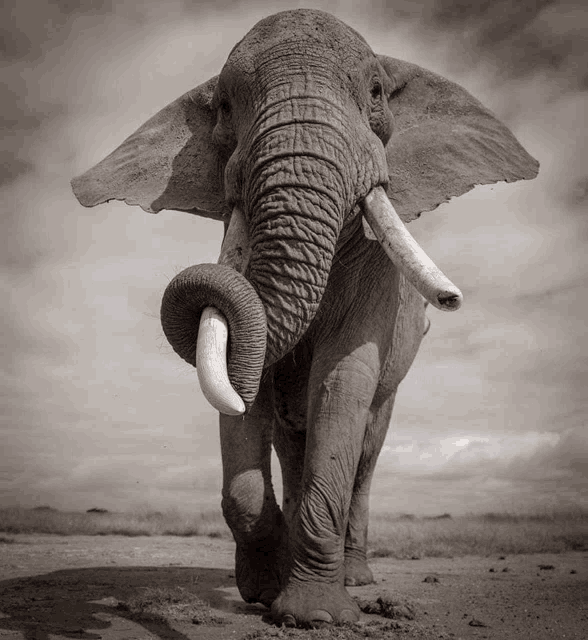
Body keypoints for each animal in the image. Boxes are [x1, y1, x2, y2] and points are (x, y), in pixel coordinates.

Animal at [72, 10, 536, 628]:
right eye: (224, 108)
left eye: (375, 93)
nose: (452, 300)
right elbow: (247, 388)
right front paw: (263, 590)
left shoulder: (376, 277)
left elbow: (342, 380)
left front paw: (314, 616)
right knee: (294, 441)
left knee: (365, 448)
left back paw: (357, 580)